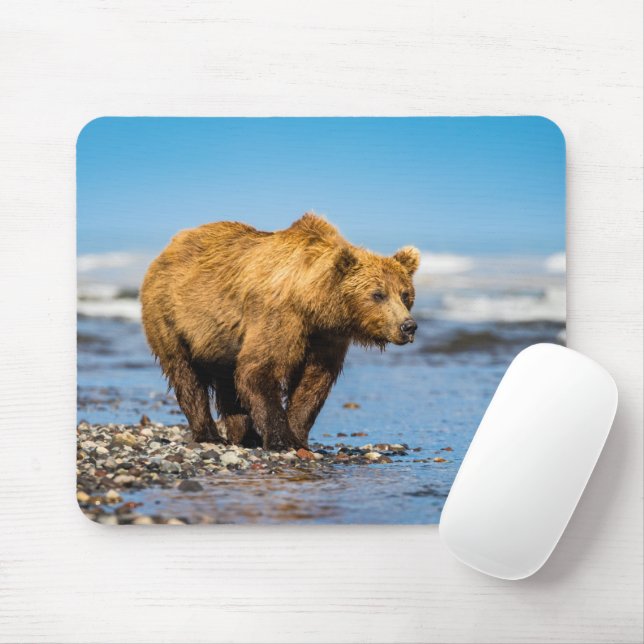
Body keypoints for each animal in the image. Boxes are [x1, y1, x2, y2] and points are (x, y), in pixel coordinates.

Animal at [140, 213, 420, 451]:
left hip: (222, 339)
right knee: (185, 374)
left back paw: (245, 436)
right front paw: (281, 439)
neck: (313, 303)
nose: (408, 326)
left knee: (227, 381)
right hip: (170, 316)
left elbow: (314, 381)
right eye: (378, 294)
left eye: (405, 294)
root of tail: (169, 248)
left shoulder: (326, 336)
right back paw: (209, 434)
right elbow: (259, 368)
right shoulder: (280, 316)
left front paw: (297, 434)